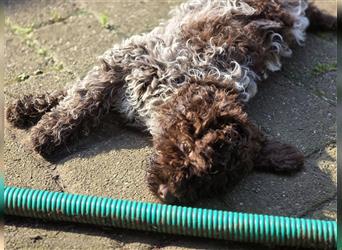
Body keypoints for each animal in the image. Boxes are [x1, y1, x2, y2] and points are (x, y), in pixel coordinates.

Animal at [6, 0, 336, 204]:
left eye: (213, 184)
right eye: (188, 151)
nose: (167, 195)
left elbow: (81, 95)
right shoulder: (125, 60)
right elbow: (79, 96)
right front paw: (39, 122)